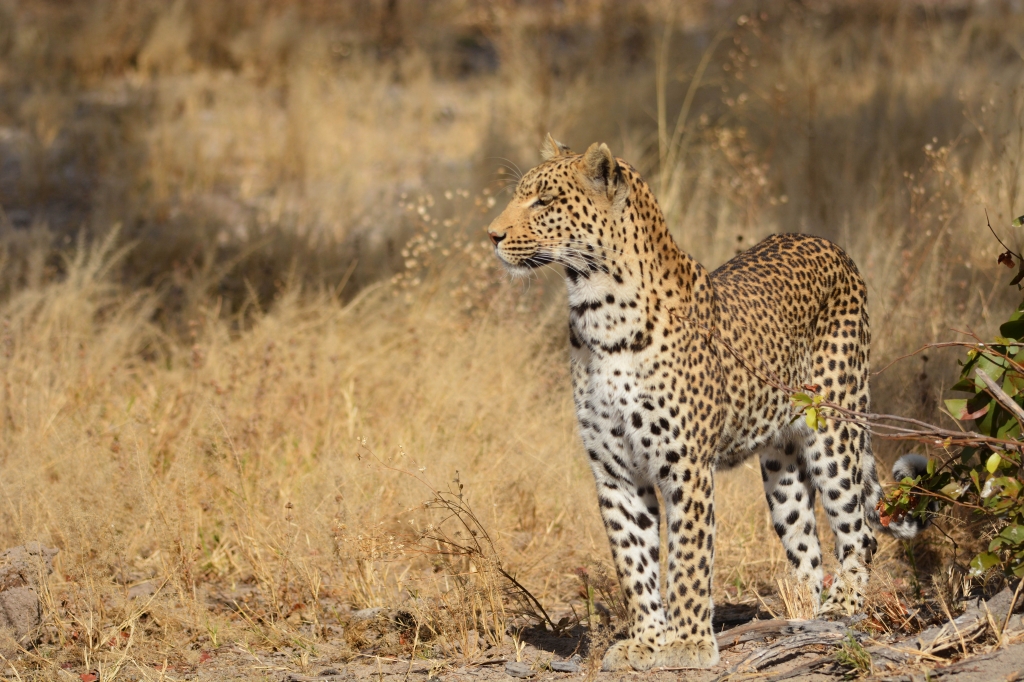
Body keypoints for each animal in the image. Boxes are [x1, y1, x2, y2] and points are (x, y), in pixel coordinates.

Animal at [486, 135, 929, 672]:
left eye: (543, 201)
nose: (491, 235)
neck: (596, 310)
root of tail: (829, 244)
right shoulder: (615, 471)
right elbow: (633, 560)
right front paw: (646, 640)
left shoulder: (686, 465)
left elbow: (689, 559)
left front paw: (690, 642)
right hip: (780, 466)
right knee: (805, 544)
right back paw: (801, 613)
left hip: (835, 432)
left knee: (858, 531)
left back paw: (842, 608)